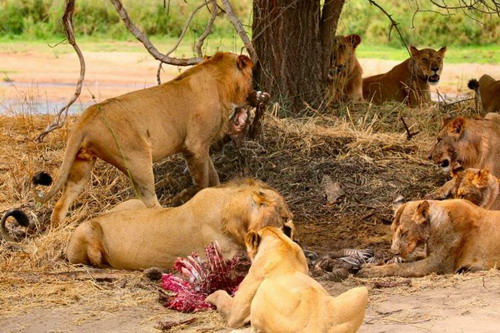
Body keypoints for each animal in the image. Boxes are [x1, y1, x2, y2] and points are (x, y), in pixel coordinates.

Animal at [34, 52, 254, 227]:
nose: (253, 92)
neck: (218, 78)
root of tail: (87, 116)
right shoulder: (195, 145)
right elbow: (203, 180)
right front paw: (193, 198)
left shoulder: (201, 146)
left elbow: (214, 176)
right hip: (138, 159)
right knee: (149, 200)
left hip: (82, 164)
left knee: (62, 202)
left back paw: (59, 229)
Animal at [206, 224, 368, 330]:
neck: (279, 241)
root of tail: (316, 327)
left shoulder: (236, 313)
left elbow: (220, 295)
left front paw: (208, 296)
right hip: (361, 291)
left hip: (262, 297)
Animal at [358, 198, 500, 276]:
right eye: (392, 230)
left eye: (404, 233)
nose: (394, 251)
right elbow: (412, 258)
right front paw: (383, 261)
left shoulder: (438, 264)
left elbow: (402, 268)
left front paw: (370, 270)